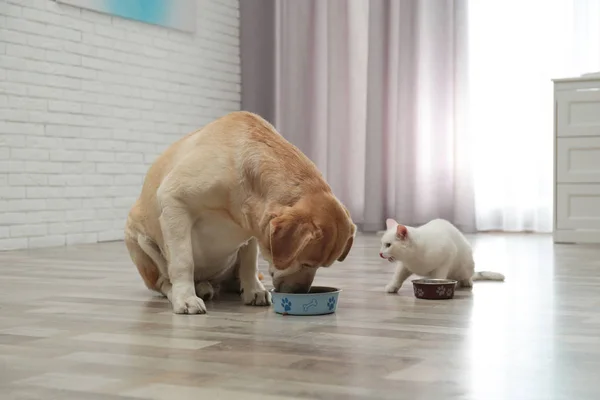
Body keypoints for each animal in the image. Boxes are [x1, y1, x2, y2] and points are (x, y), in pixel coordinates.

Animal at [123, 111, 354, 314]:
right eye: (307, 263)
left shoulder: (252, 227)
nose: (301, 293)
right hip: (140, 240)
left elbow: (249, 261)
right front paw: (186, 298)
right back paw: (191, 290)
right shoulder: (174, 201)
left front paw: (253, 290)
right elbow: (183, 261)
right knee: (164, 281)